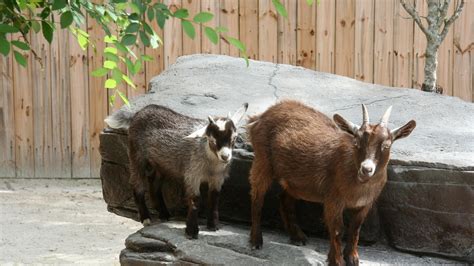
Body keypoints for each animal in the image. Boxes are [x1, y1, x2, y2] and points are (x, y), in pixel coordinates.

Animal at [248, 100, 414, 266]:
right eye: (356, 142)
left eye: (386, 145)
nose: (366, 169)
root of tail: (260, 117)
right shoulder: (333, 199)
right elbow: (337, 229)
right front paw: (336, 260)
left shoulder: (365, 203)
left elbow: (355, 228)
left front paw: (352, 258)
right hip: (262, 160)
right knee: (257, 199)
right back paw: (256, 241)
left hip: (295, 181)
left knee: (284, 199)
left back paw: (297, 237)